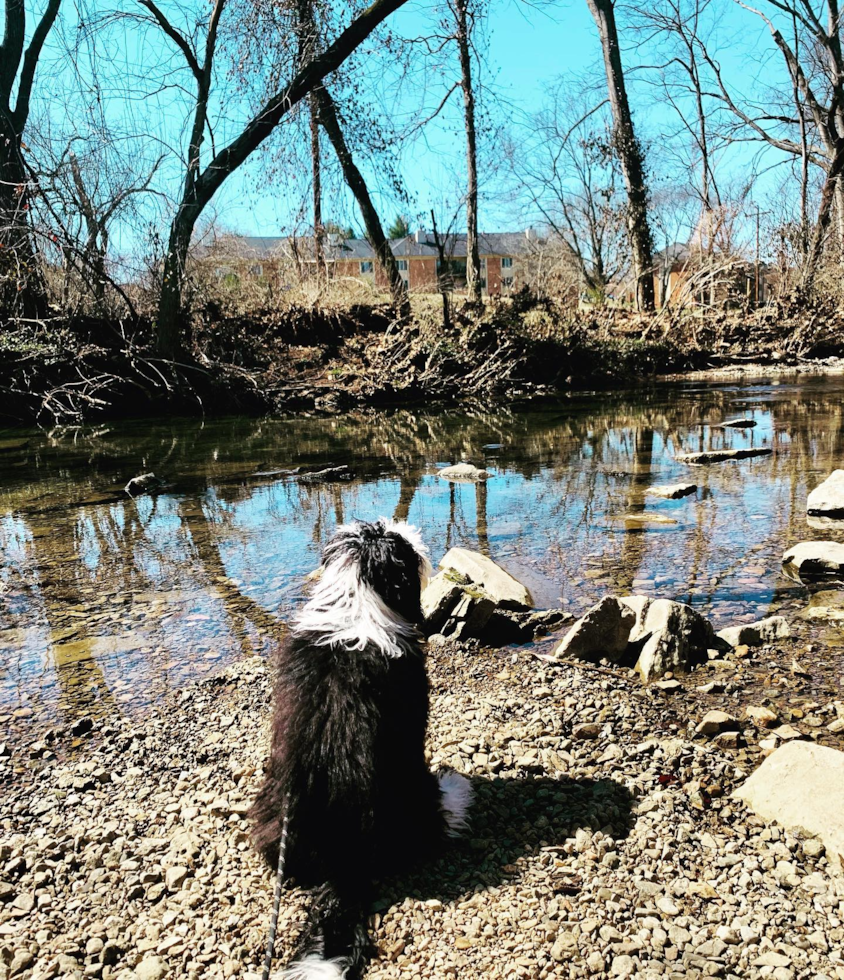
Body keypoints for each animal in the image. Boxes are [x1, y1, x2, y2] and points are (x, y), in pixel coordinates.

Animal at [251, 516, 474, 976]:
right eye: (401, 544)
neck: (356, 601)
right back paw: (458, 793)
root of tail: (344, 860)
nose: (405, 526)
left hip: (272, 812)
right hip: (412, 794)